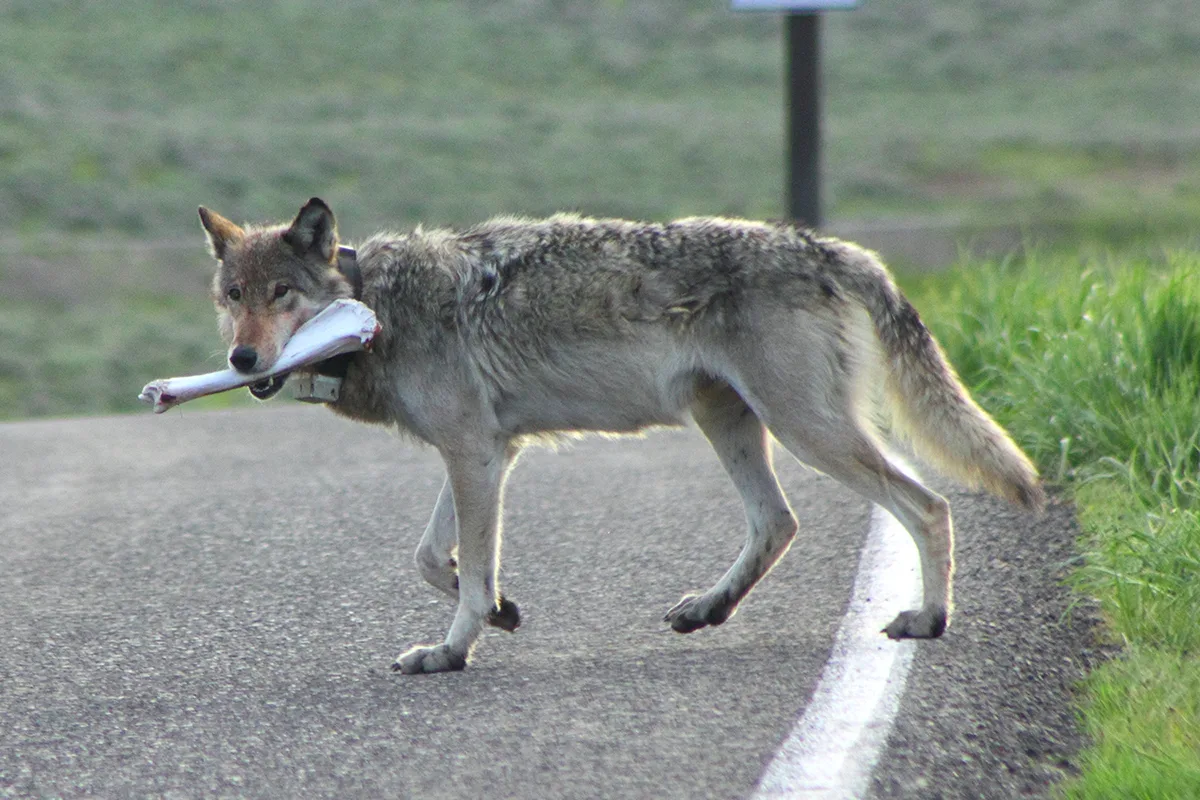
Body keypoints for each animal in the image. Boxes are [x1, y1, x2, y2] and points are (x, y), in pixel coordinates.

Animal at [196, 196, 1041, 671]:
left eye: (281, 293)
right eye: (233, 296)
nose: (242, 358)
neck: (377, 306)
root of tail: (826, 244)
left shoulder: (475, 455)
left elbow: (465, 567)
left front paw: (452, 650)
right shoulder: (485, 453)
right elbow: (437, 558)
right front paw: (500, 610)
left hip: (808, 432)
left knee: (927, 505)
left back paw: (929, 619)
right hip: (730, 423)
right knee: (778, 521)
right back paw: (708, 609)